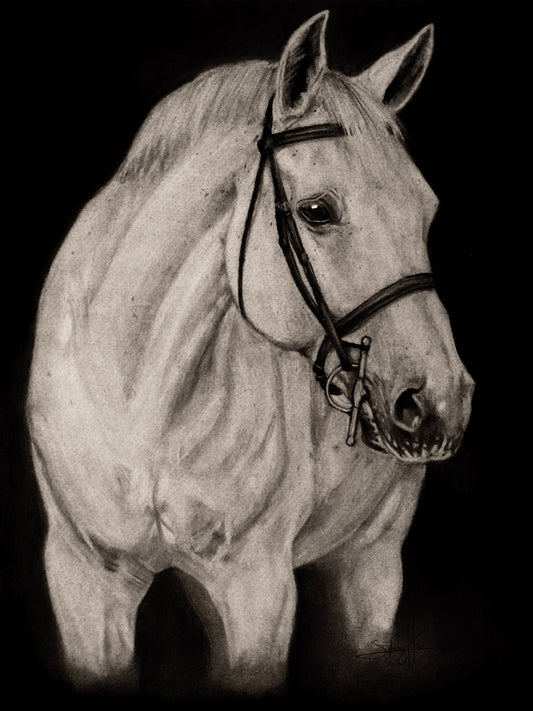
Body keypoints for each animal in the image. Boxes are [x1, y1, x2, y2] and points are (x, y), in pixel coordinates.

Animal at [26, 10, 474, 696]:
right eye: (318, 211)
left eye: (427, 209)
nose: (442, 401)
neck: (141, 401)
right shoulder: (85, 581)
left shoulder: (258, 589)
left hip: (371, 556)